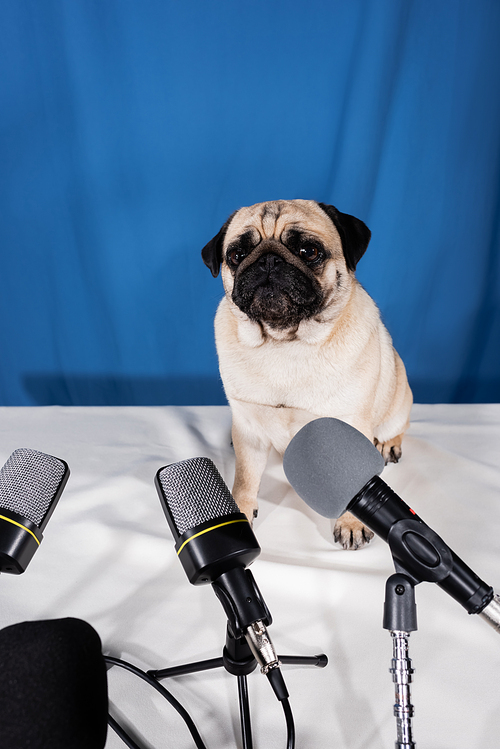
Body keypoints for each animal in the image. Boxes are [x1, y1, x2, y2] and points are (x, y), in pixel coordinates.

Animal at [201, 199, 412, 548]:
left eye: (308, 251)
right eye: (237, 255)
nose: (268, 261)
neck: (284, 342)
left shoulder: (349, 423)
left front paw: (351, 523)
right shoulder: (248, 425)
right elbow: (245, 478)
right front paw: (240, 512)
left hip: (398, 398)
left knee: (397, 426)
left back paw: (388, 444)